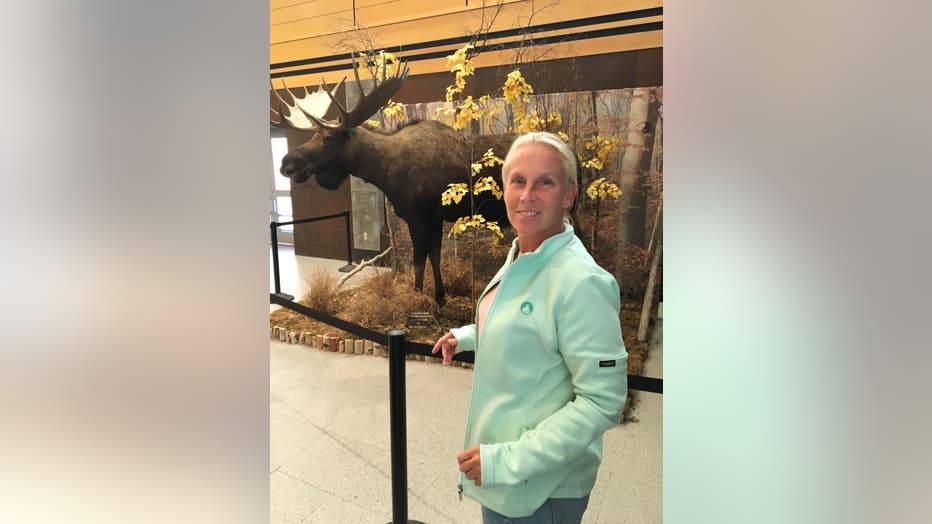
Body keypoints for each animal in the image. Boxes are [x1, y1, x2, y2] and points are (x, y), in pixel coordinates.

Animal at [270, 57, 516, 304]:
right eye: (314, 135)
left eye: (329, 138)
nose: (287, 163)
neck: (384, 172)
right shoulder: (434, 219)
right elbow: (434, 257)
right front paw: (440, 297)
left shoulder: (418, 218)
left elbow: (418, 262)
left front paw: (418, 296)